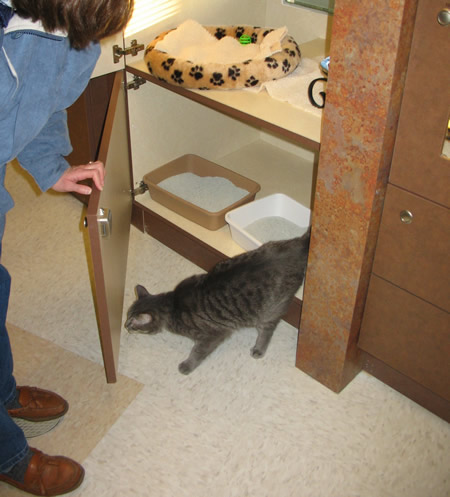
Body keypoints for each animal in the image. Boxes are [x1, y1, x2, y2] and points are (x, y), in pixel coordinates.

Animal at [125, 227, 312, 374]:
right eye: (127, 316)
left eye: (132, 323)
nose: (125, 326)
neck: (172, 306)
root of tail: (300, 246)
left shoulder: (213, 335)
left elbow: (197, 351)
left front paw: (187, 365)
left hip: (268, 311)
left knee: (268, 329)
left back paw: (259, 348)